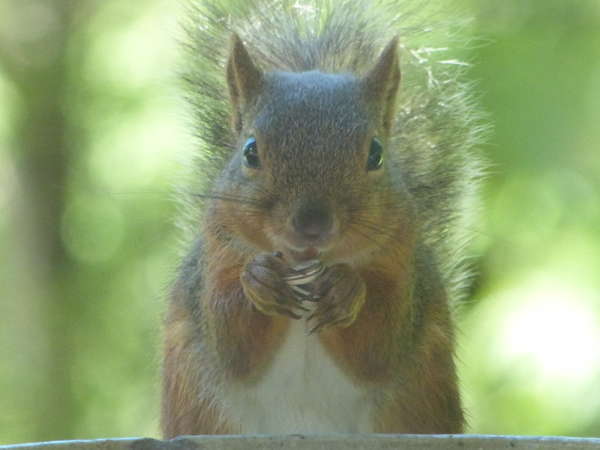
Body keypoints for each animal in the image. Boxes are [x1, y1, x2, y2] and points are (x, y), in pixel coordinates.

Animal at [159, 0, 482, 440]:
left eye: (376, 153)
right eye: (250, 151)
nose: (312, 223)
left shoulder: (404, 266)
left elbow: (380, 347)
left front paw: (346, 289)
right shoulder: (215, 256)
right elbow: (232, 346)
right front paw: (259, 279)